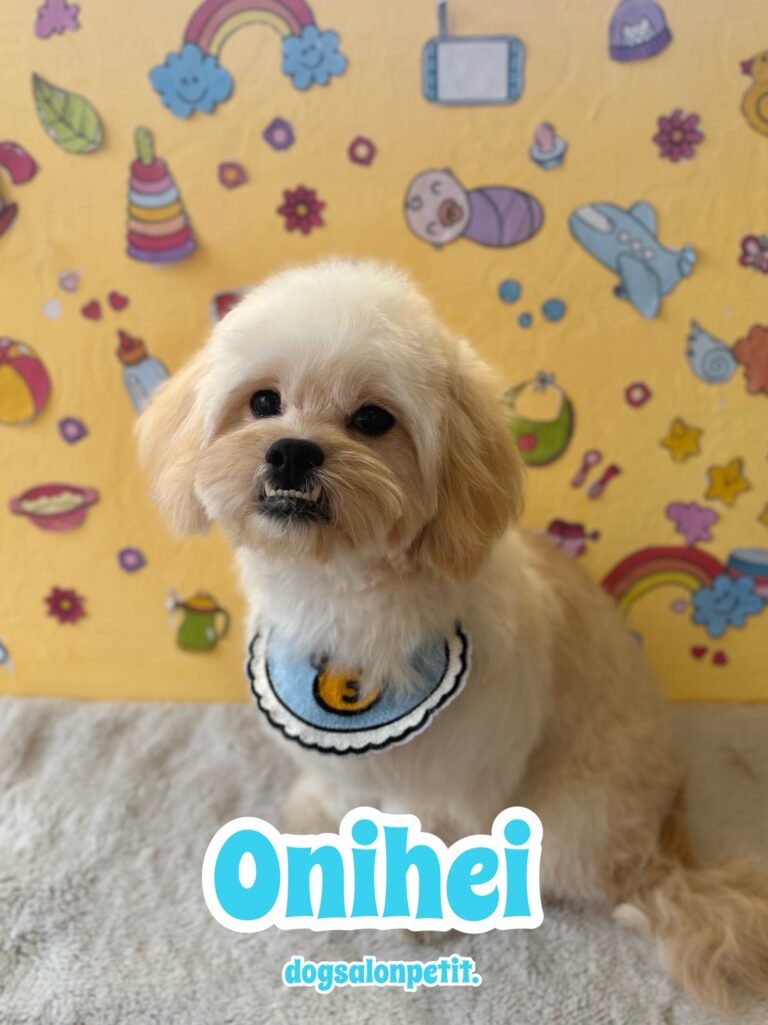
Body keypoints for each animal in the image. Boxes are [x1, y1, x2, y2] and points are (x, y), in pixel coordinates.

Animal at [137, 260, 768, 1008]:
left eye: (373, 419)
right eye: (264, 401)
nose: (291, 452)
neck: (343, 599)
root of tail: (664, 839)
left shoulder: (458, 764)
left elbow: (429, 825)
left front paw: (422, 908)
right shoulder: (331, 746)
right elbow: (337, 788)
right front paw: (316, 819)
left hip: (571, 824)